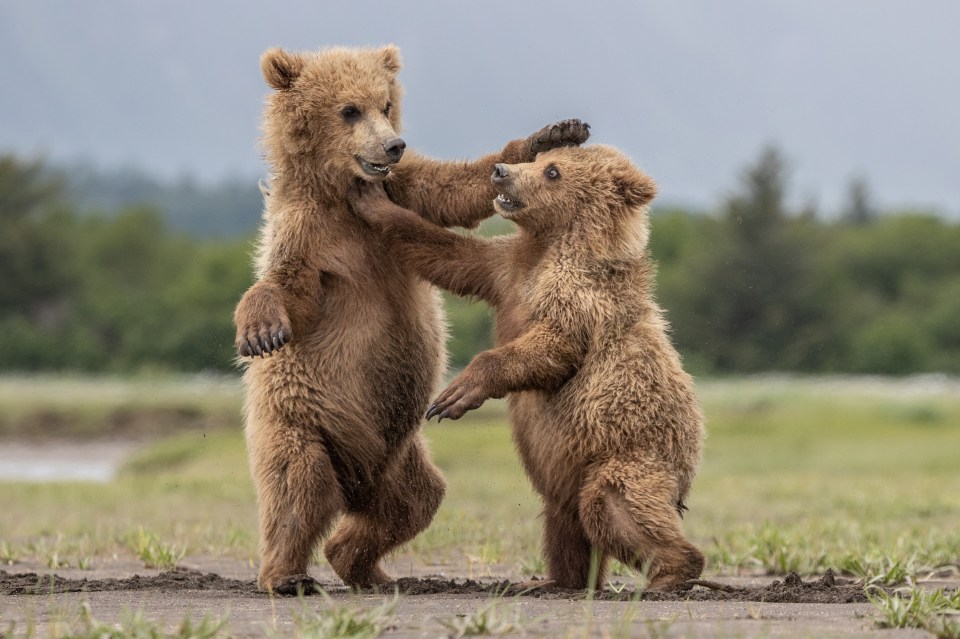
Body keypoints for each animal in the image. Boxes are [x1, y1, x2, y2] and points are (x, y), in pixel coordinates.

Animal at [235, 45, 588, 596]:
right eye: (349, 110)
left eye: (385, 104)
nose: (393, 145)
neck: (343, 192)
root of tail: (357, 482)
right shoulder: (310, 232)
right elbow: (291, 285)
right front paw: (261, 328)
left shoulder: (402, 189)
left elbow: (453, 189)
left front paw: (553, 134)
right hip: (305, 417)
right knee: (298, 486)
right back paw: (286, 575)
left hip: (398, 454)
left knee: (414, 502)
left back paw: (367, 567)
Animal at [352, 144, 704, 592]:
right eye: (539, 160)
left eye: (553, 171)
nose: (501, 171)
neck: (550, 245)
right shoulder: (507, 270)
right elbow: (450, 255)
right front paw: (373, 199)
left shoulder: (577, 296)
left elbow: (551, 347)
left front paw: (453, 395)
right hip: (567, 466)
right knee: (565, 520)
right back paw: (557, 581)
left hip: (628, 452)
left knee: (613, 503)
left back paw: (671, 571)